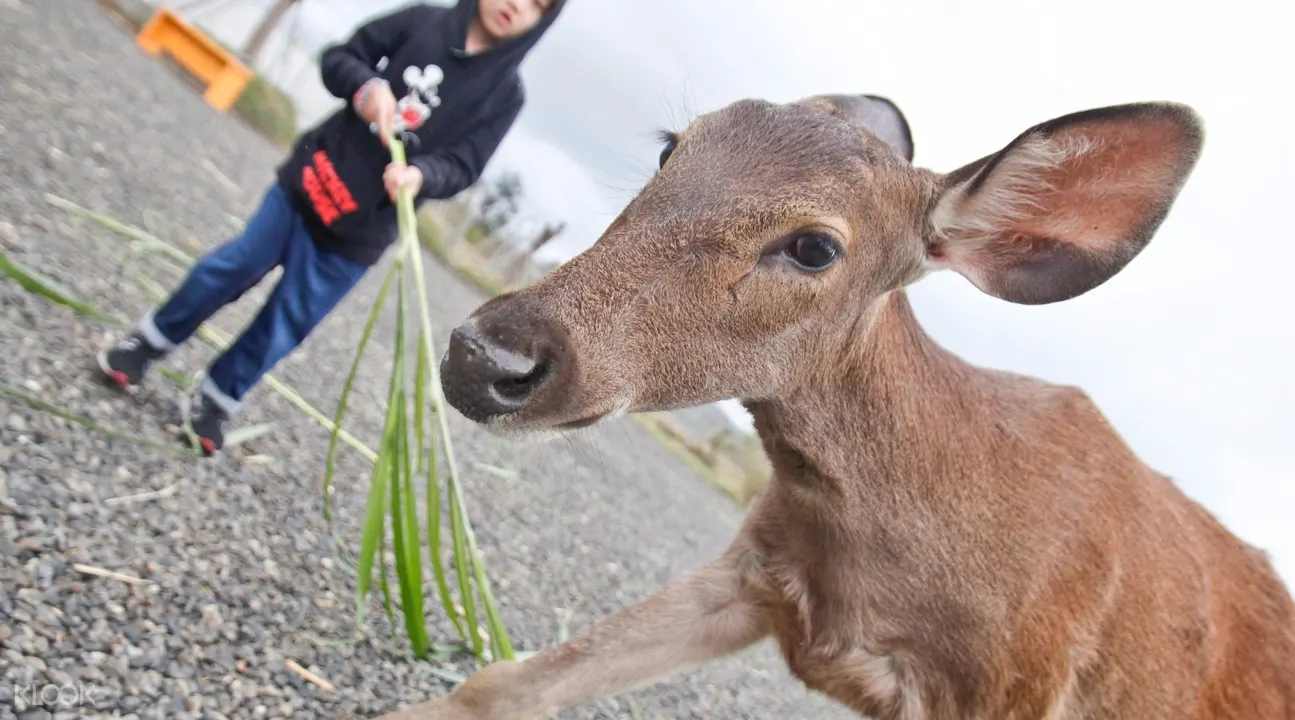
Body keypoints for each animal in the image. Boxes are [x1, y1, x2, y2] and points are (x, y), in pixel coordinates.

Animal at [375, 93, 1295, 719]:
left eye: (815, 247)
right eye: (672, 147)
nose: (486, 357)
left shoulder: (1011, 693)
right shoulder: (755, 569)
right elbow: (508, 681)